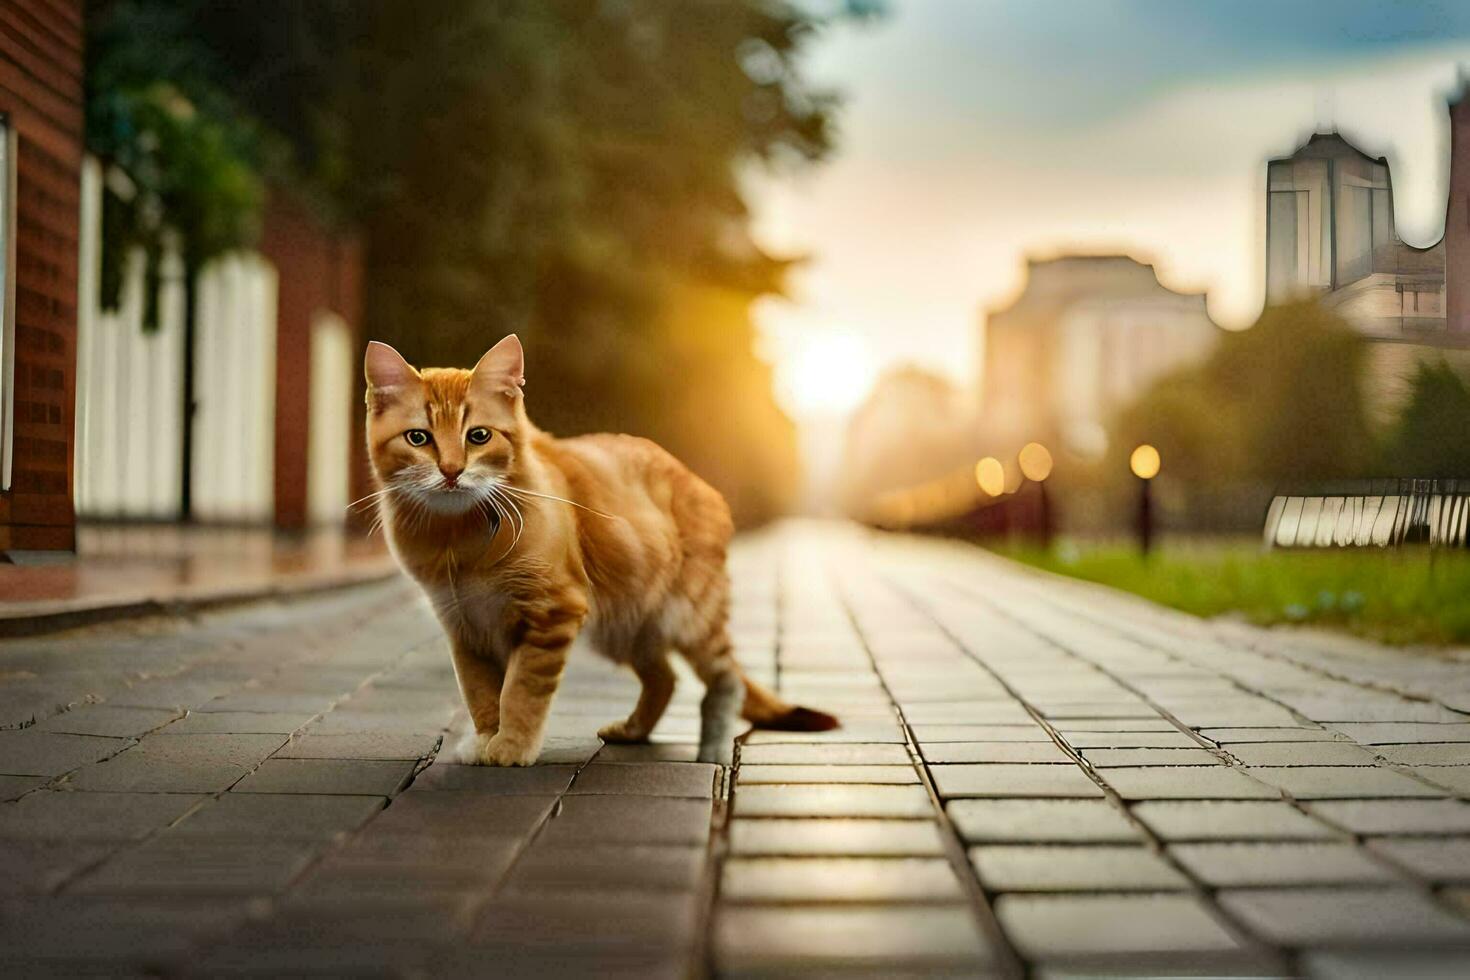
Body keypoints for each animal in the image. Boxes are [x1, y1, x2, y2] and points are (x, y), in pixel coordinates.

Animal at [361, 337, 834, 764]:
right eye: (418, 438)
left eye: (478, 436)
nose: (451, 470)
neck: (457, 538)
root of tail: (696, 479)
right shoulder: (464, 625)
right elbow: (481, 694)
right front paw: (484, 741)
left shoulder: (552, 612)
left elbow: (520, 691)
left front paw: (511, 747)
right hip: (625, 623)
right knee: (664, 677)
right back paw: (633, 730)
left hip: (688, 614)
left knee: (725, 680)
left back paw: (712, 751)